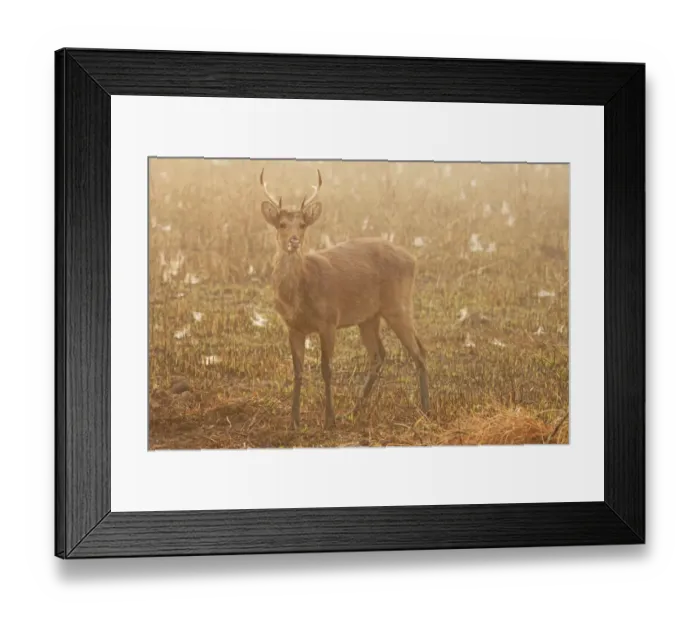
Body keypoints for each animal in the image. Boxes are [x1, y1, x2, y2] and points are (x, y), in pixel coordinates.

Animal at [259, 168, 429, 430]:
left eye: (302, 224)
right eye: (281, 224)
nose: (294, 241)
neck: (299, 295)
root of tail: (413, 259)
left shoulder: (329, 320)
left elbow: (326, 369)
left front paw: (329, 420)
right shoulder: (293, 327)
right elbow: (297, 371)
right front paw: (294, 421)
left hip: (398, 304)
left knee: (419, 352)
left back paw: (426, 410)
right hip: (369, 317)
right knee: (379, 355)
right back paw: (355, 411)